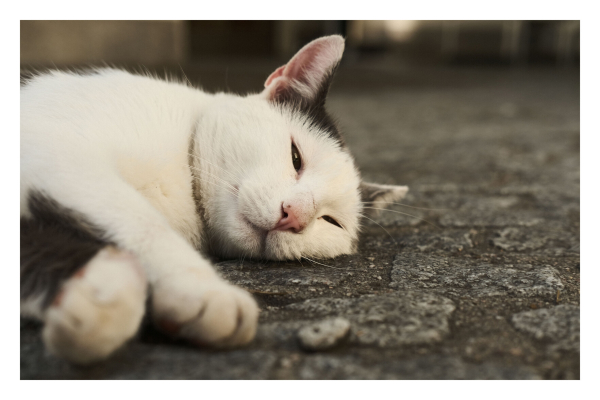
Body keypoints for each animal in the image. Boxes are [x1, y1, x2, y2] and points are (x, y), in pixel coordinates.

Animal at [21, 36, 410, 364]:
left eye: (331, 222)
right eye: (296, 157)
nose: (294, 215)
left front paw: (95, 300)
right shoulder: (60, 154)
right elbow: (143, 223)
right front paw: (200, 290)